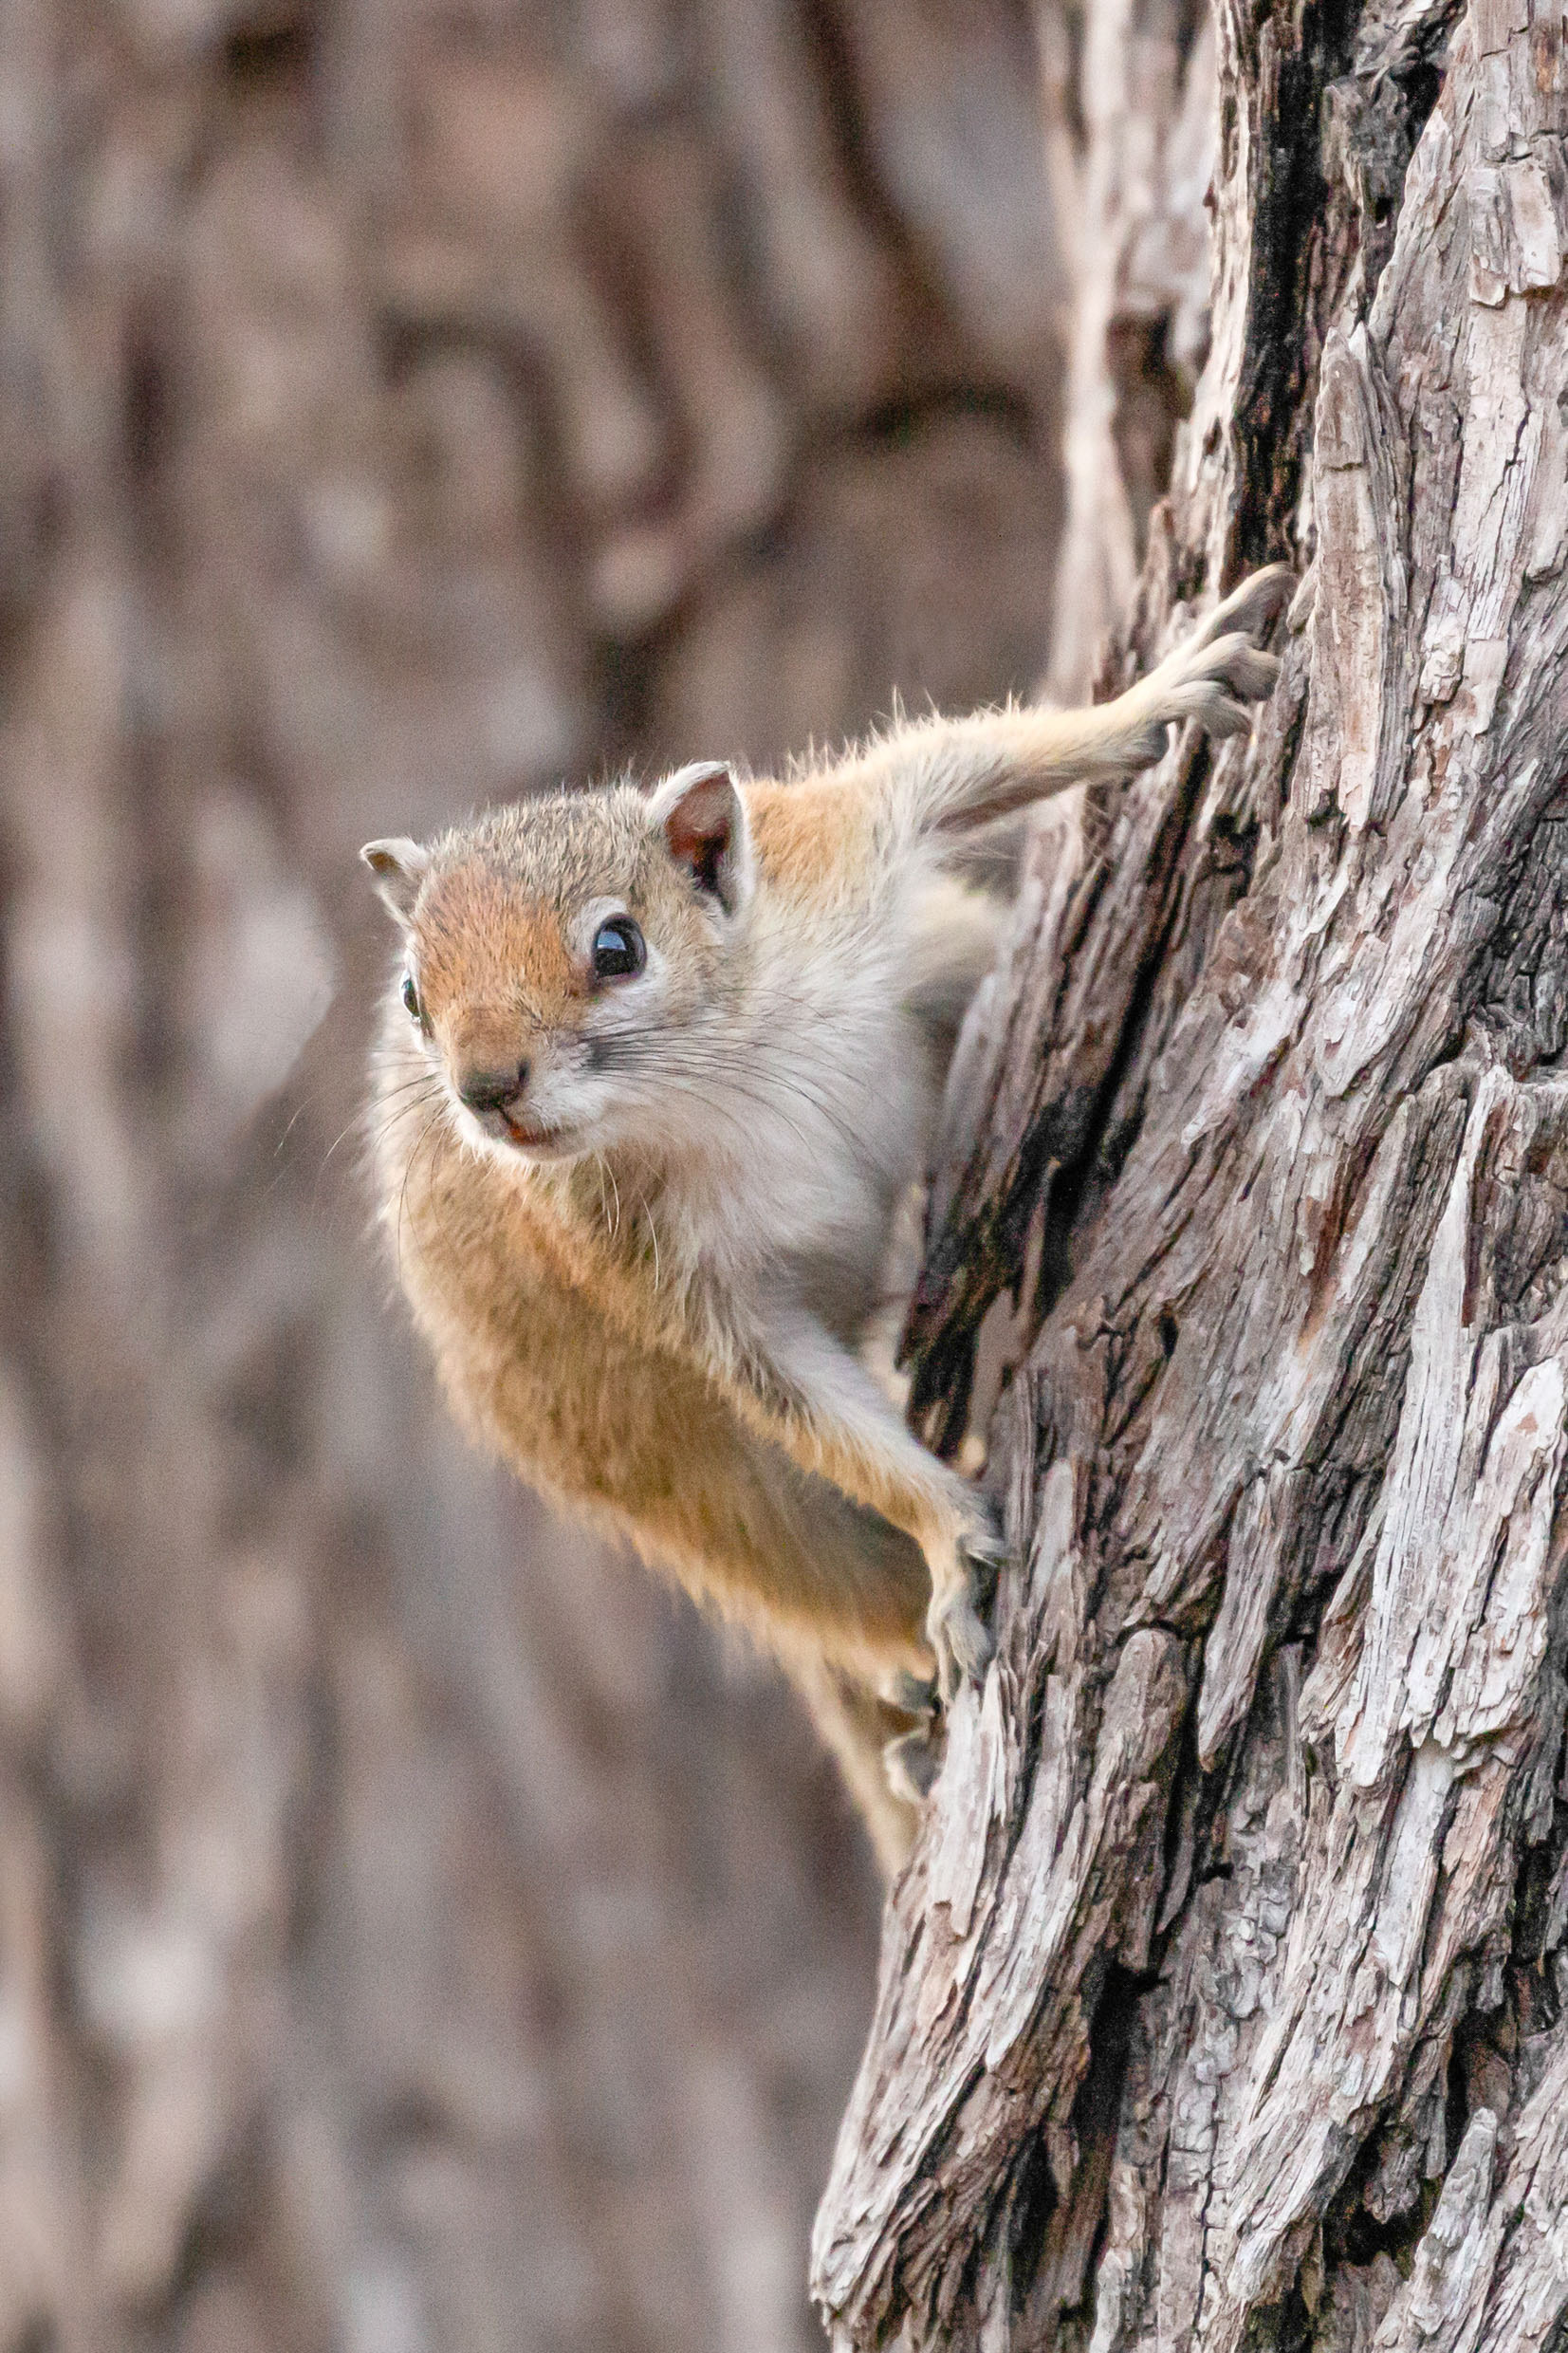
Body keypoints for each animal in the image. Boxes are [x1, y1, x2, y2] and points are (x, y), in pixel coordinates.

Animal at [363, 566, 1290, 1870]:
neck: (722, 1070)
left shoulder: (836, 854)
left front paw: (1157, 695)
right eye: (412, 992)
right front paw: (951, 1541)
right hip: (721, 1500)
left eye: (618, 944)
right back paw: (910, 1697)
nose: (485, 1089)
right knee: (843, 1582)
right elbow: (803, 1395)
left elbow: (967, 761)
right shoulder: (665, 1275)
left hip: (944, 952)